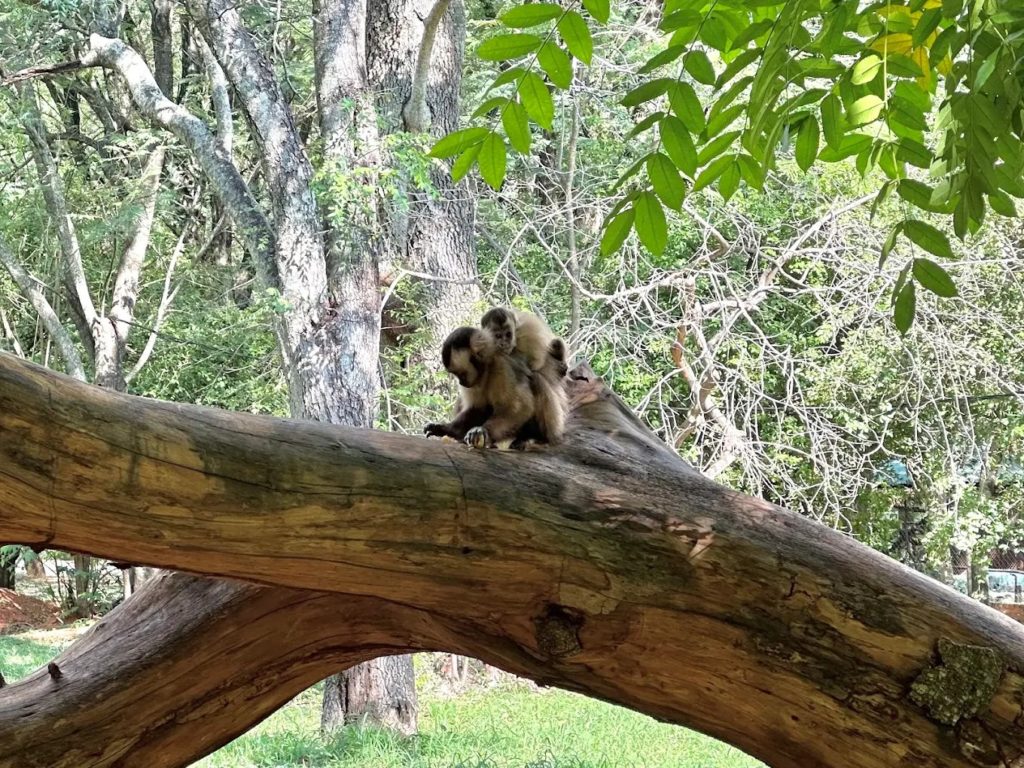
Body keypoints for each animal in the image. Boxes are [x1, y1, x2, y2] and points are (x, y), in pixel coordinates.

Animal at [480, 307, 569, 443]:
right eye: (498, 336)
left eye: (508, 334)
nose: (504, 343)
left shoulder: (528, 333)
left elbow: (536, 366)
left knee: (537, 377)